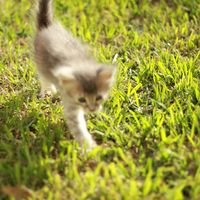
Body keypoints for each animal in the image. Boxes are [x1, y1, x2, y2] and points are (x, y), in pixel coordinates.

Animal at [34, 0, 115, 150]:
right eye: (82, 99)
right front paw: (89, 148)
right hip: (41, 64)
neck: (79, 65)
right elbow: (78, 127)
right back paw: (48, 91)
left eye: (99, 97)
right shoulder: (70, 104)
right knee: (44, 77)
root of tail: (47, 28)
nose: (92, 109)